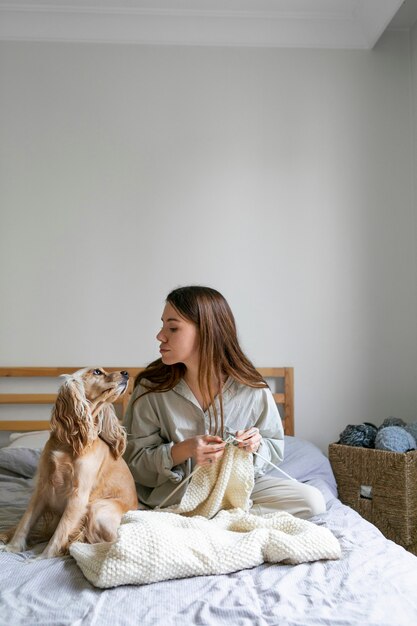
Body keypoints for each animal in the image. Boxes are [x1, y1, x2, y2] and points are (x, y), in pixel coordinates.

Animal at [0, 366, 140, 556]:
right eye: (97, 372)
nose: (126, 373)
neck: (68, 443)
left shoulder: (78, 496)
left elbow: (60, 533)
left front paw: (41, 557)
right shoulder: (42, 488)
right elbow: (25, 522)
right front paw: (13, 547)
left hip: (98, 509)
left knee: (106, 542)